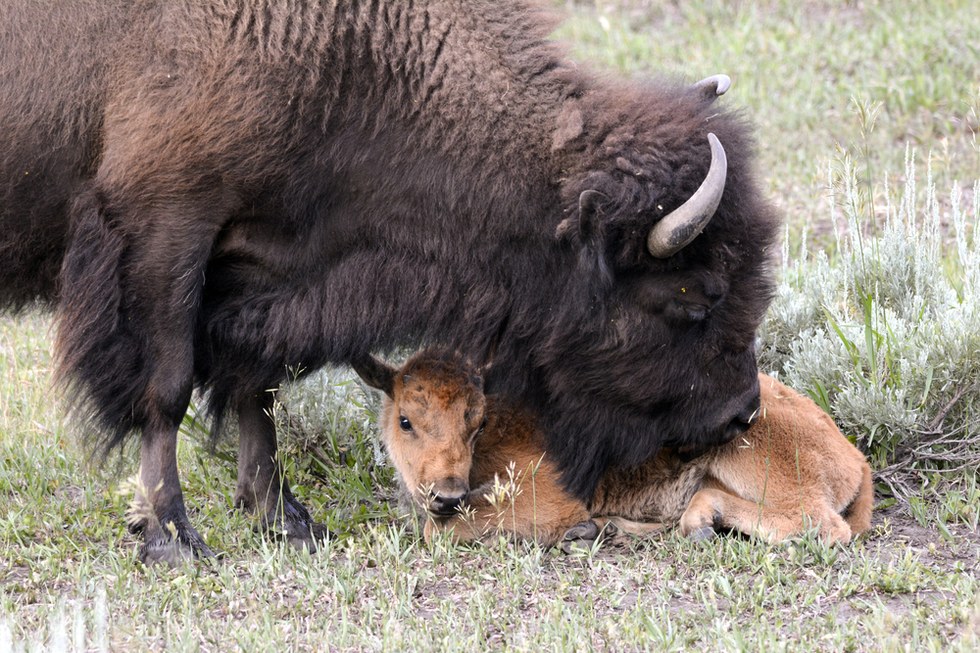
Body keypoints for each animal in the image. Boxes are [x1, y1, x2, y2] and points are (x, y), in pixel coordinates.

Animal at [1, 1, 779, 563]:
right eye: (694, 295)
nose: (740, 411)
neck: (345, 55)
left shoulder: (271, 271)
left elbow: (256, 388)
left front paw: (287, 521)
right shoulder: (167, 229)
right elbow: (166, 389)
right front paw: (172, 539)